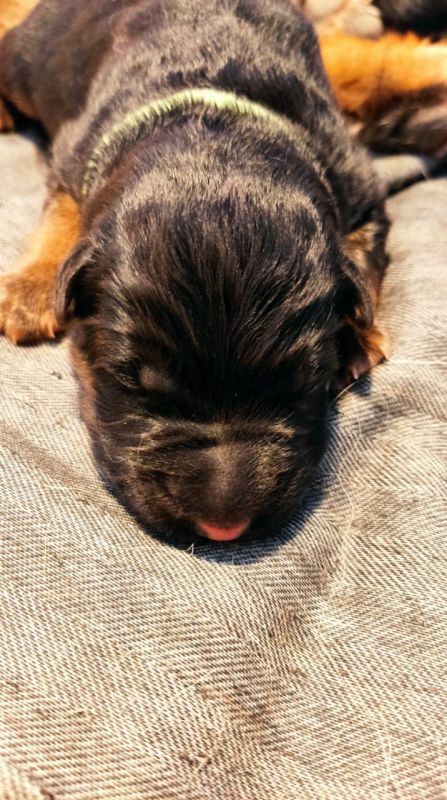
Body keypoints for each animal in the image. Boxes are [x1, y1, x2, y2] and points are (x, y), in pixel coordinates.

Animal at [0, 0, 446, 544]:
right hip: (30, 58)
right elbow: (62, 210)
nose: (224, 529)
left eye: (304, 380)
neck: (213, 124)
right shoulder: (73, 155)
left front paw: (356, 336)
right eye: (139, 384)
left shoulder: (358, 185)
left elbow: (363, 257)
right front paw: (32, 289)